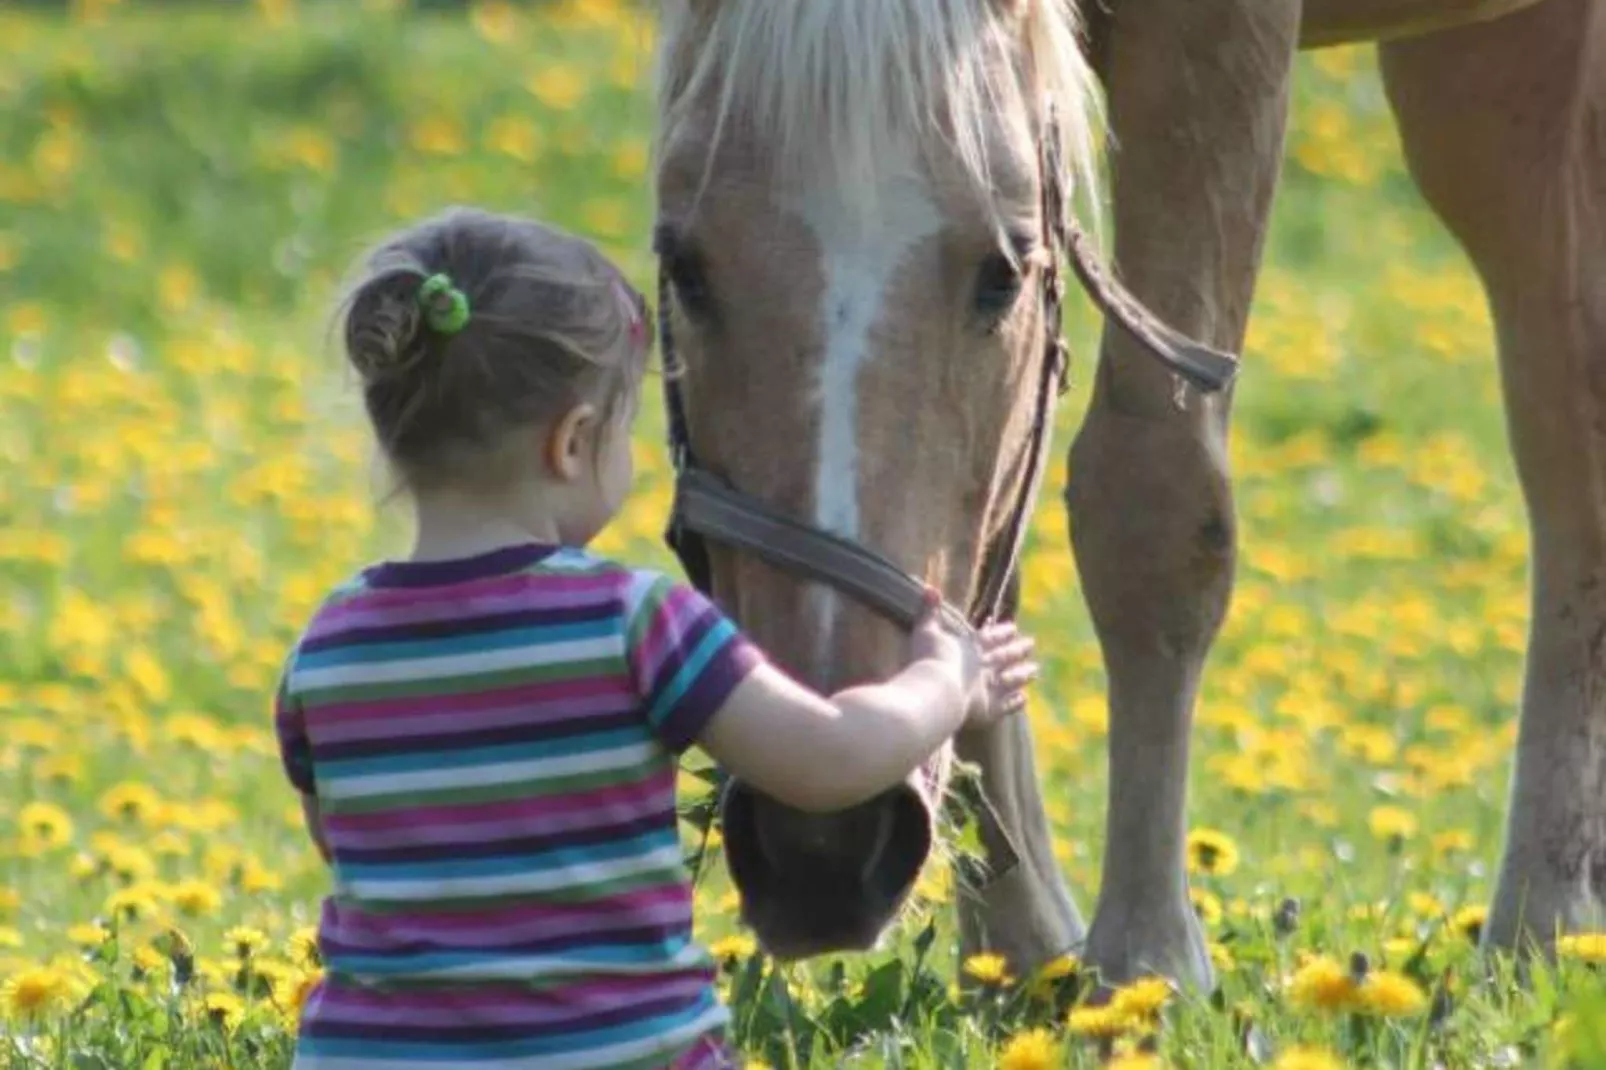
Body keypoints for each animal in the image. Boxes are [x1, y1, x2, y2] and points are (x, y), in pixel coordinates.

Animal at [645, 0, 1599, 989]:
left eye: (1004, 272)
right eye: (683, 266)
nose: (822, 847)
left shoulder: (1217, 50)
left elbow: (1157, 501)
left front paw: (1150, 959)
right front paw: (1020, 949)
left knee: (1565, 429)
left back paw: (1543, 916)